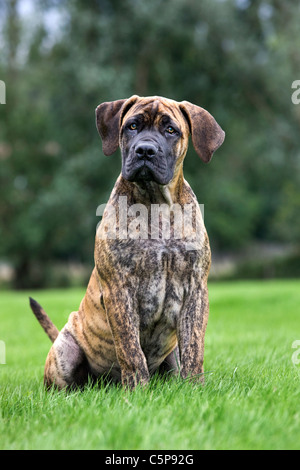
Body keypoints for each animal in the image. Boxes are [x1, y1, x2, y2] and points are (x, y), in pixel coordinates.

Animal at [29, 94, 225, 390]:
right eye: (132, 126)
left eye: (171, 130)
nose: (145, 150)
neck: (155, 205)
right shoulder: (118, 290)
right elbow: (130, 348)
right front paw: (137, 390)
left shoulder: (195, 290)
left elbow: (194, 347)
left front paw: (194, 387)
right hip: (66, 350)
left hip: (171, 354)